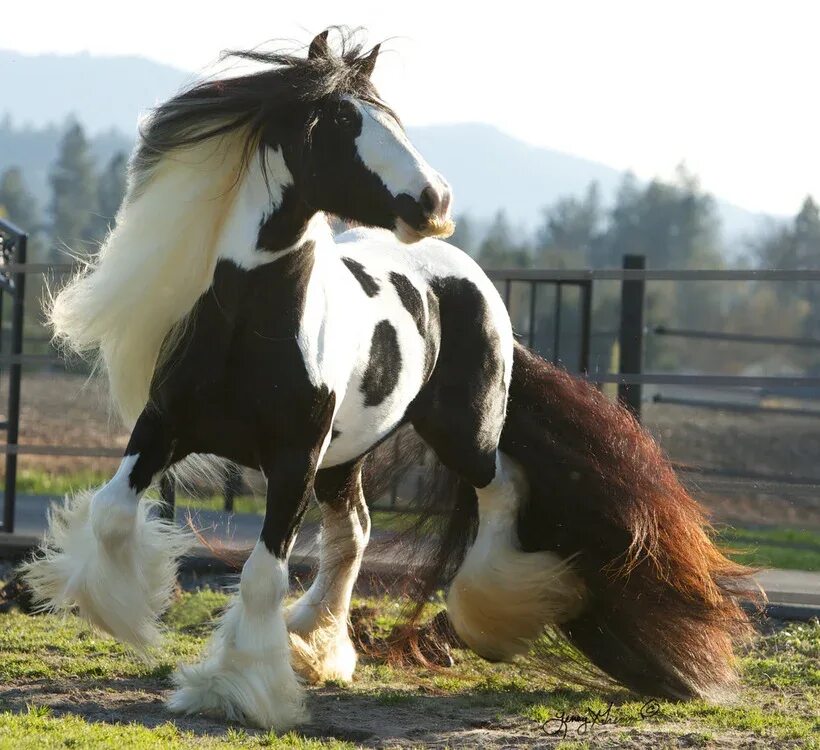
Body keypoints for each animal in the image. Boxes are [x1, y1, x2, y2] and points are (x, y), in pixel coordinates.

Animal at [22, 29, 756, 736]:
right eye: (343, 119)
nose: (436, 200)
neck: (250, 323)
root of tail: (466, 276)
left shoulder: (292, 458)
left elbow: (261, 573)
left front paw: (236, 691)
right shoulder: (165, 426)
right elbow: (111, 512)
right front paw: (130, 617)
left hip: (459, 433)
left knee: (501, 491)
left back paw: (490, 615)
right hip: (345, 456)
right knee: (355, 532)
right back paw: (311, 644)